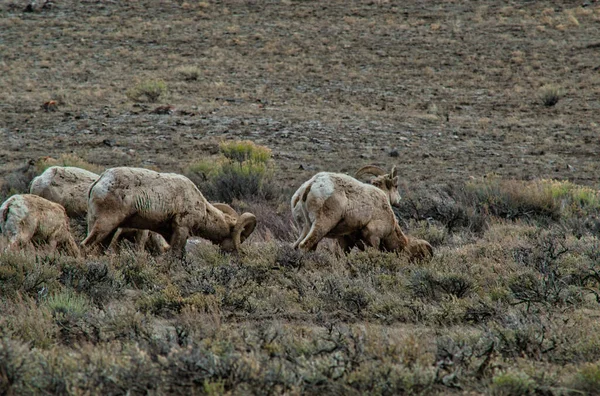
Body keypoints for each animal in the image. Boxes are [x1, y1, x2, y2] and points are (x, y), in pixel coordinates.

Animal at [81, 167, 256, 256]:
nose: (235, 255)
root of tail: (100, 181)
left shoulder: (169, 234)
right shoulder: (181, 229)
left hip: (105, 229)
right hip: (105, 224)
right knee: (85, 245)